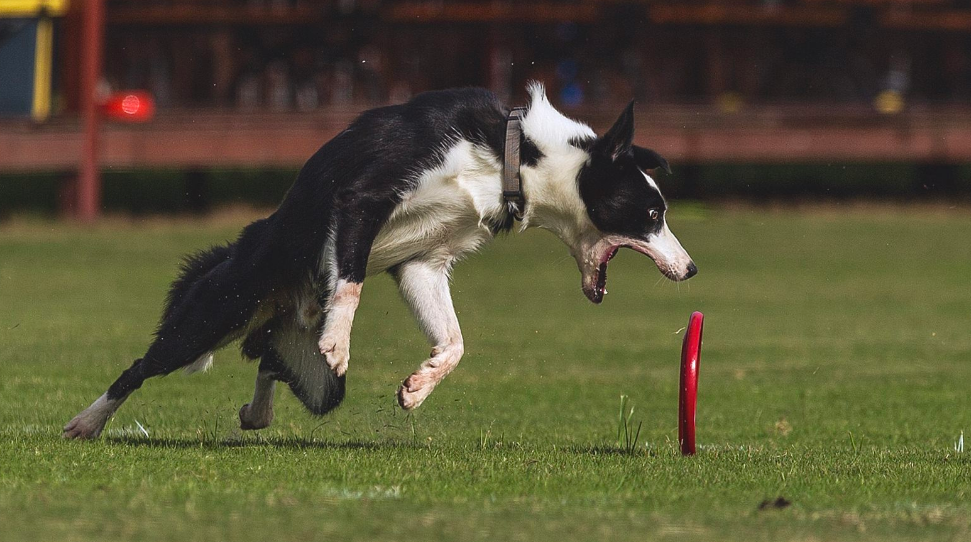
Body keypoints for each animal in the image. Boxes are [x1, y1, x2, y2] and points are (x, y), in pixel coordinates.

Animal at [64, 84, 696, 442]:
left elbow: (455, 341)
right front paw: (340, 340)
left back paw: (256, 412)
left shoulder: (423, 263)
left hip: (311, 377)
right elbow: (349, 284)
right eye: (652, 213)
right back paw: (86, 423)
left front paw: (418, 386)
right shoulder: (361, 202)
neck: (511, 157)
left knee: (270, 358)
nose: (691, 271)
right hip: (213, 313)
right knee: (139, 367)